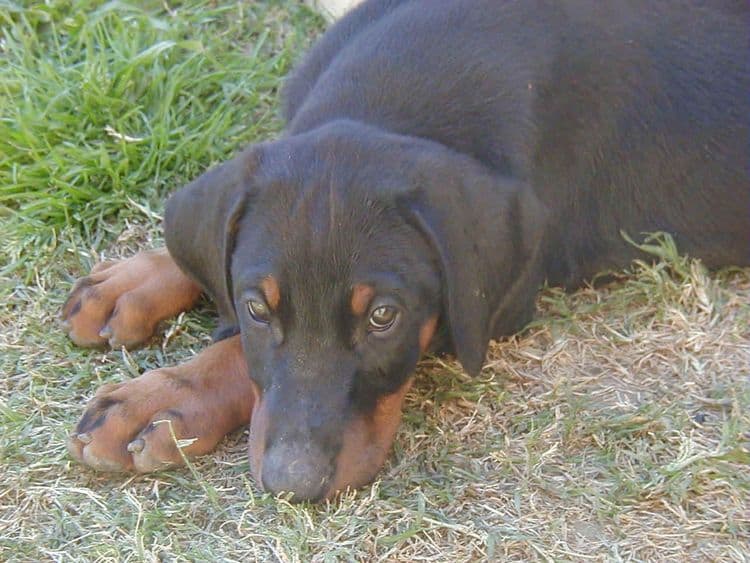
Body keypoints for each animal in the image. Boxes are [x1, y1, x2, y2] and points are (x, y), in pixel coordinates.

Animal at [60, 0, 750, 502]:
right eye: (257, 308)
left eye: (383, 316)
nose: (292, 486)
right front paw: (136, 283)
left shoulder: (499, 301)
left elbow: (230, 355)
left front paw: (162, 401)